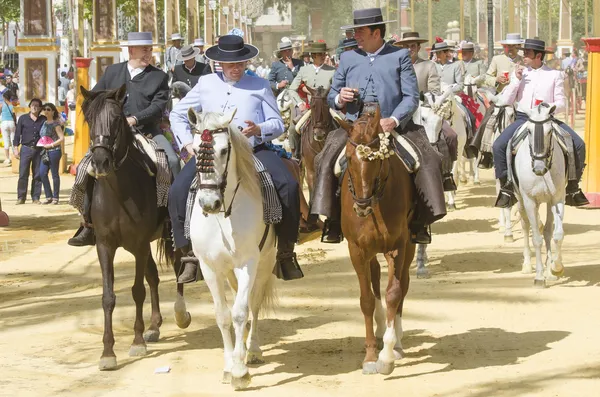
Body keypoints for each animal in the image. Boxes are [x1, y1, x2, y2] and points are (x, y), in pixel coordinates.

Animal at [79, 85, 175, 370]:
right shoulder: (105, 246)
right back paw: (154, 326)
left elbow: (137, 291)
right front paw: (107, 353)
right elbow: (108, 297)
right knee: (153, 277)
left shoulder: (140, 244)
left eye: (115, 120)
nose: (100, 162)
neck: (118, 193)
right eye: (89, 118)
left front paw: (137, 342)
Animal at [179, 109, 280, 390]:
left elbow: (241, 311)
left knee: (253, 304)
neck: (223, 216)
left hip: (265, 263)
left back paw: (251, 350)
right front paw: (228, 366)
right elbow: (223, 315)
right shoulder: (210, 268)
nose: (208, 203)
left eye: (224, 150)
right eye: (196, 150)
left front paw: (239, 371)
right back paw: (242, 349)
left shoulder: (248, 263)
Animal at [338, 104, 418, 374]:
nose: (361, 206)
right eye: (348, 158)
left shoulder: (398, 246)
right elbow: (366, 300)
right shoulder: (357, 250)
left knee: (403, 285)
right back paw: (381, 328)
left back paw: (398, 342)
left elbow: (394, 293)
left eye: (378, 160)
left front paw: (387, 355)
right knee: (374, 280)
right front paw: (371, 355)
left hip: (411, 245)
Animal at [512, 103, 564, 286]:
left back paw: (550, 271)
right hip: (520, 201)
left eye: (550, 131)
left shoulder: (557, 199)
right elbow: (536, 238)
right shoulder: (529, 202)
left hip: (548, 203)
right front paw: (539, 277)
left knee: (547, 231)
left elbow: (557, 234)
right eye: (529, 131)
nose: (539, 168)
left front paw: (555, 268)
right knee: (525, 225)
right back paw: (527, 265)